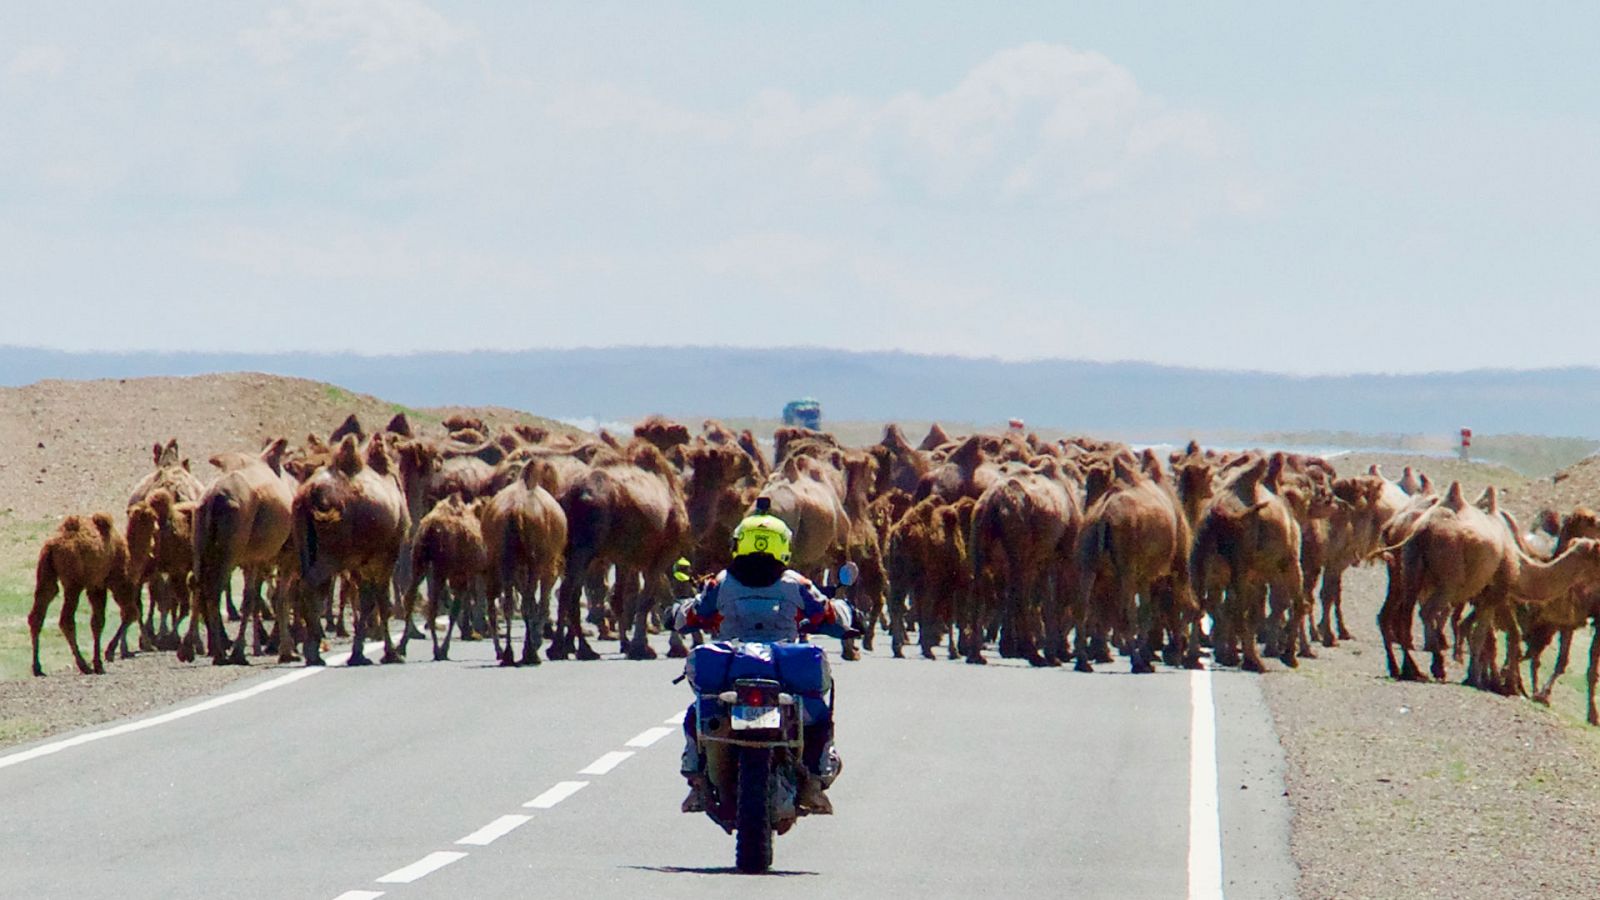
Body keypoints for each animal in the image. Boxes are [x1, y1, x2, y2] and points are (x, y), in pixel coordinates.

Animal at [29, 512, 139, 672]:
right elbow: (99, 622)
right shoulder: (103, 582)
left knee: (37, 614)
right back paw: (83, 665)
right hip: (73, 583)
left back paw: (37, 667)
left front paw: (100, 660)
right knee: (66, 620)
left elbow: (96, 623)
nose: (135, 612)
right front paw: (102, 659)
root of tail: (52, 547)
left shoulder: (95, 585)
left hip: (46, 574)